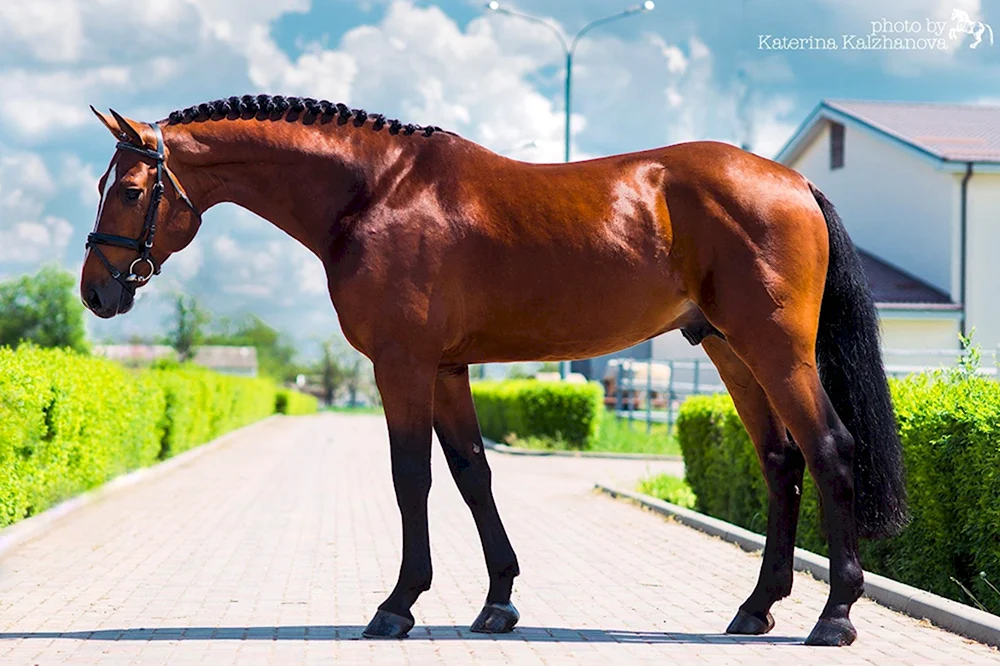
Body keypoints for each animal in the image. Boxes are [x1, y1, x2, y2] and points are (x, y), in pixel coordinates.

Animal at [80, 96, 908, 644]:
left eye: (130, 189)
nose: (96, 290)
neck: (375, 192)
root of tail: (793, 182)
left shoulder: (403, 365)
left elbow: (411, 475)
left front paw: (397, 605)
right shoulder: (448, 368)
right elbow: (472, 471)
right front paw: (498, 601)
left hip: (776, 350)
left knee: (830, 451)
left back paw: (835, 616)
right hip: (731, 350)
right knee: (779, 461)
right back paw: (756, 607)